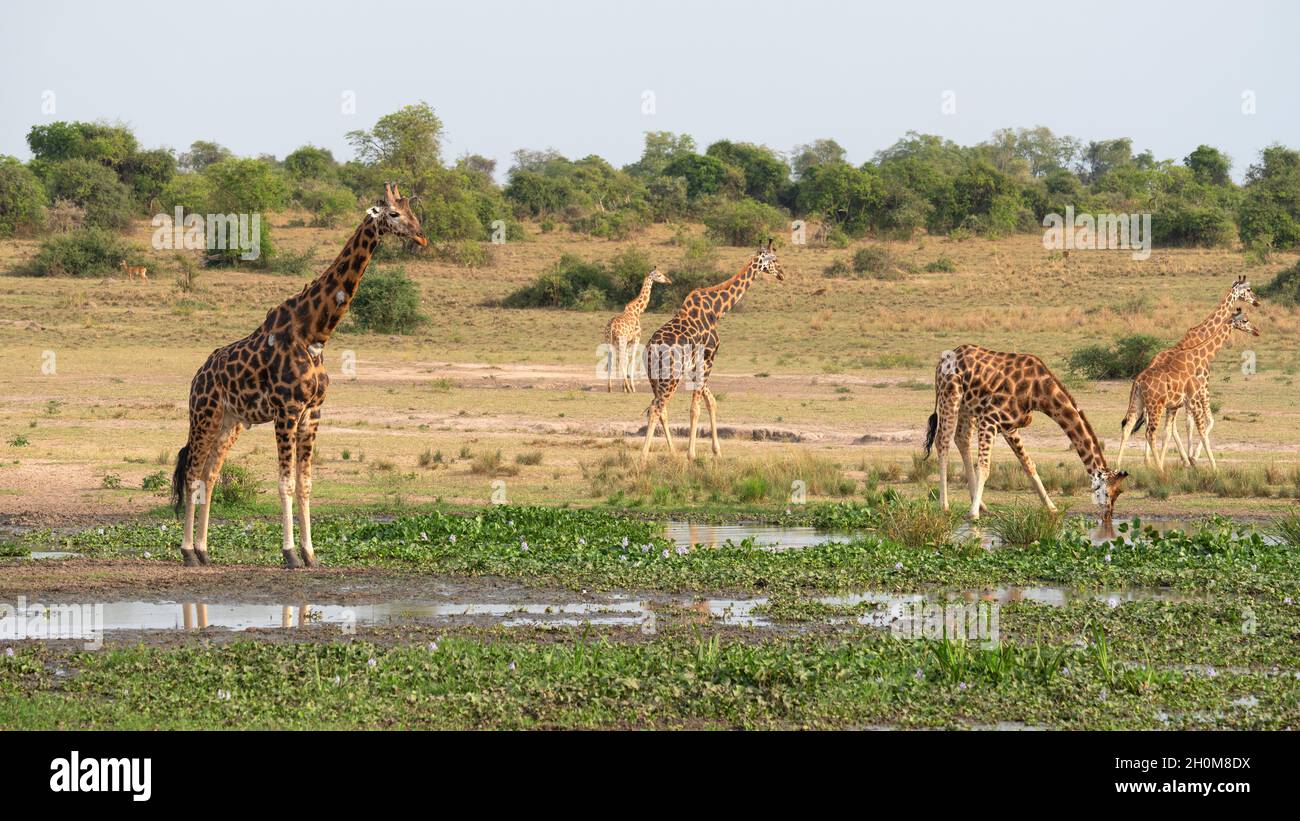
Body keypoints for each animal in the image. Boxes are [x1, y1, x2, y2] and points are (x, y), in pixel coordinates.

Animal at [169, 184, 426, 568]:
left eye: (413, 212)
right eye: (393, 214)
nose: (422, 236)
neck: (315, 332)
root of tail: (197, 376)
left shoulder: (312, 413)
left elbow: (305, 484)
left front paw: (310, 554)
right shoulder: (286, 411)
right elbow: (285, 483)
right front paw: (290, 553)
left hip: (230, 422)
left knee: (209, 475)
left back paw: (203, 550)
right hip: (204, 415)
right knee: (191, 474)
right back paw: (187, 551)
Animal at [640, 240, 785, 460]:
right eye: (774, 260)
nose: (782, 274)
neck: (717, 310)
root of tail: (650, 350)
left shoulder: (694, 366)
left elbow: (711, 402)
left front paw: (716, 450)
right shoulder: (708, 358)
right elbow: (695, 408)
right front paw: (691, 454)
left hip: (655, 377)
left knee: (657, 407)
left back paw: (671, 452)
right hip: (670, 376)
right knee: (656, 408)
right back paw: (643, 457)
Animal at [923, 345, 1128, 528]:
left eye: (1119, 492)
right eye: (1109, 493)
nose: (1108, 517)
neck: (1039, 391)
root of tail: (943, 360)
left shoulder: (1009, 426)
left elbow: (1029, 465)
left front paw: (1052, 508)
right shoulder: (990, 418)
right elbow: (984, 467)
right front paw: (972, 515)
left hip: (967, 408)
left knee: (961, 439)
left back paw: (982, 505)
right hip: (950, 396)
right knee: (942, 441)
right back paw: (945, 506)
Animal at [1118, 309, 1258, 473]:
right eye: (1245, 320)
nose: (1256, 330)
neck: (1197, 355)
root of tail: (1138, 381)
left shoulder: (1175, 405)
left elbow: (1169, 432)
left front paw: (1190, 461)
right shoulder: (1196, 397)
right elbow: (1201, 431)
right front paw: (1212, 468)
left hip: (1138, 402)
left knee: (1128, 426)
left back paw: (1120, 466)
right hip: (1155, 405)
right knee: (1150, 432)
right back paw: (1160, 469)